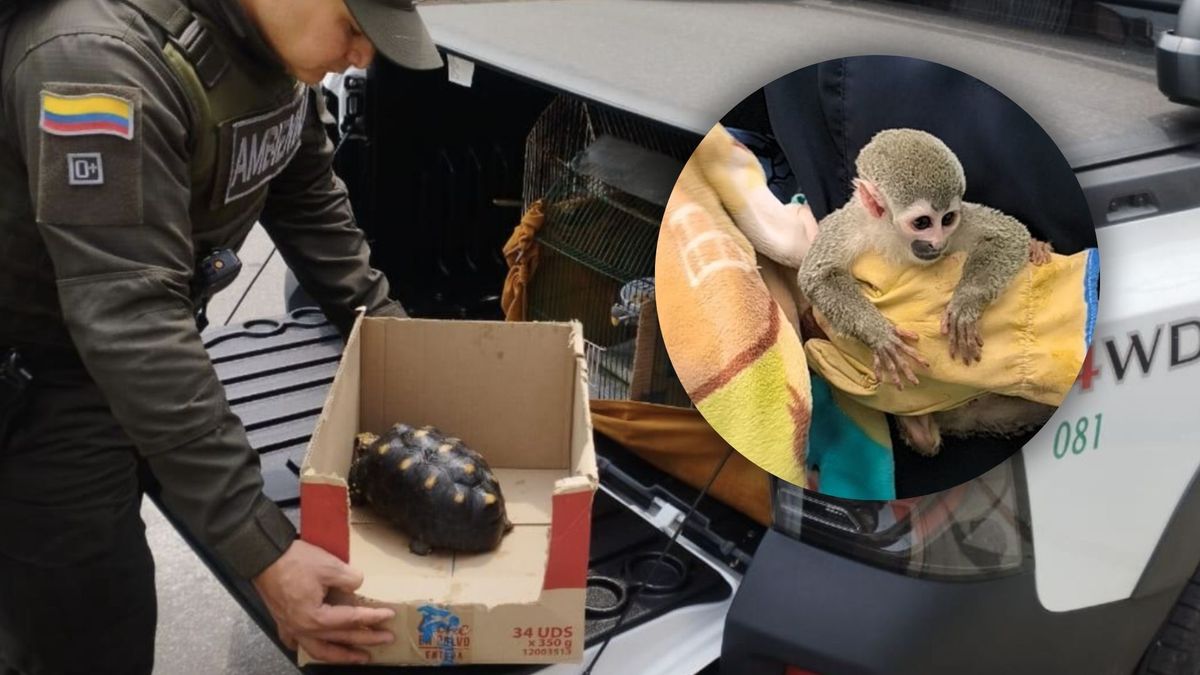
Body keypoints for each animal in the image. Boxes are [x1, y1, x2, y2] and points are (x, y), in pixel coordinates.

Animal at [796, 128, 1054, 456]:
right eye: (922, 223)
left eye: (947, 219)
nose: (938, 243)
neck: (894, 238)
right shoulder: (847, 227)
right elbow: (816, 277)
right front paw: (879, 335)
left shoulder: (962, 223)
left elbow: (1009, 235)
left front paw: (965, 303)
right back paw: (918, 427)